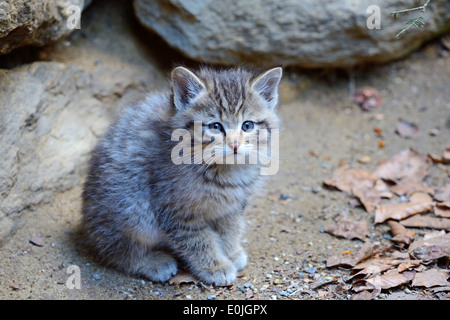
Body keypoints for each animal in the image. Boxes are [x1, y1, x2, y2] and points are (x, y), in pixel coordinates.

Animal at [78, 65, 282, 284]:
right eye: (215, 126)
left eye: (247, 125)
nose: (235, 145)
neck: (226, 171)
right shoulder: (175, 210)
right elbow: (199, 240)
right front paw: (216, 266)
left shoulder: (231, 206)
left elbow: (230, 228)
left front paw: (231, 253)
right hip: (132, 208)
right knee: (113, 249)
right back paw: (151, 262)